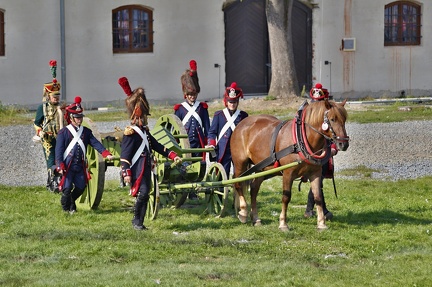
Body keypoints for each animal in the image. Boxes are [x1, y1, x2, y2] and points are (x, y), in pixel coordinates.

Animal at [231, 100, 350, 231]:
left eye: (344, 119)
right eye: (332, 119)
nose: (344, 144)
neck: (299, 141)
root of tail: (241, 124)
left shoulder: (316, 173)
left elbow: (318, 196)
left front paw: (321, 223)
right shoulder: (288, 174)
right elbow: (286, 197)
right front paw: (283, 223)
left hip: (261, 168)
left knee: (254, 189)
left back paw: (256, 218)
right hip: (240, 163)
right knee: (237, 183)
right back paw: (243, 211)